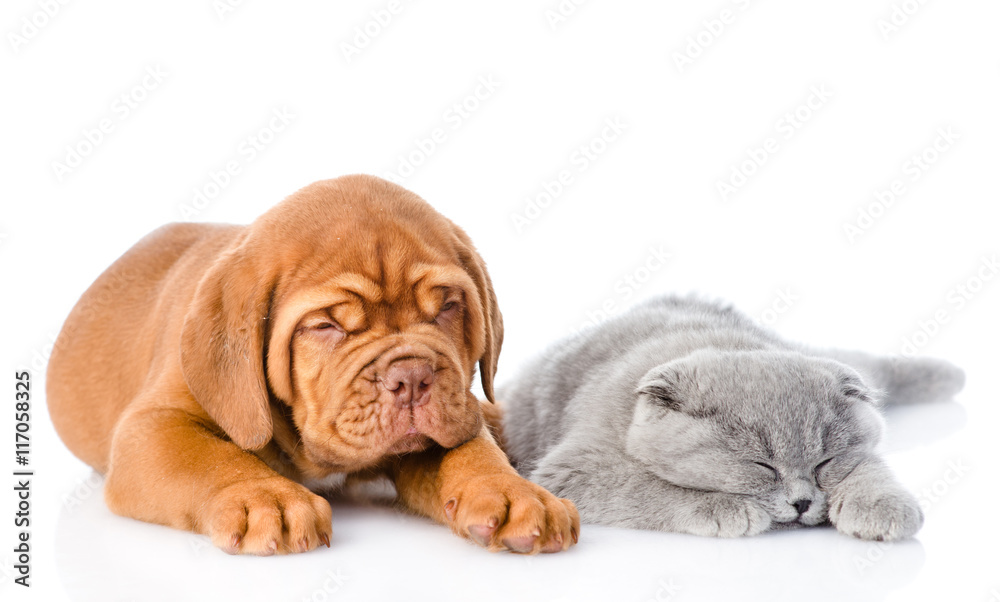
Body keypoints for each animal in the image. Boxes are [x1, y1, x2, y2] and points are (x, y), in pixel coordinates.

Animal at [47, 176, 580, 556]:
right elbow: (210, 457)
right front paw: (265, 498)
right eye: (325, 326)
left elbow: (472, 450)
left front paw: (514, 494)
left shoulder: (451, 418)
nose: (412, 377)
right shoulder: (153, 426)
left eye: (448, 306)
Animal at [504, 296, 964, 540]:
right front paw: (726, 507)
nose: (802, 502)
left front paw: (883, 506)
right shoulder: (573, 470)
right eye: (761, 465)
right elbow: (648, 487)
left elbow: (869, 467)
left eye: (823, 463)